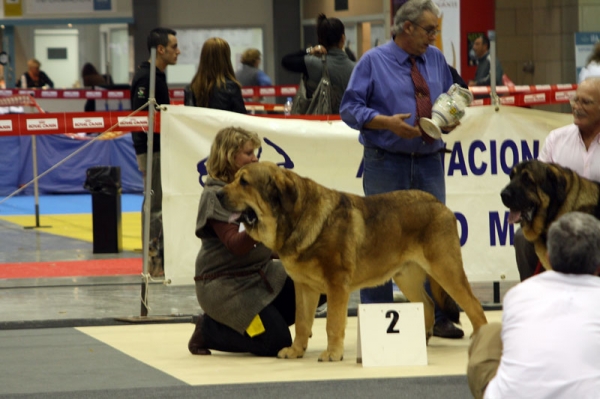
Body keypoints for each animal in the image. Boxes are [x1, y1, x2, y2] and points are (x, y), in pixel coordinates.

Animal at [219, 162, 488, 362]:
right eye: (234, 178)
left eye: (244, 182)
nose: (219, 193)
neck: (295, 217)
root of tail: (440, 204)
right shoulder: (304, 287)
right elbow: (303, 323)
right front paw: (296, 351)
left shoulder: (336, 284)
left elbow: (332, 323)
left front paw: (332, 353)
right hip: (406, 277)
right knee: (429, 304)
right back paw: (418, 340)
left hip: (446, 270)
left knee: (474, 306)